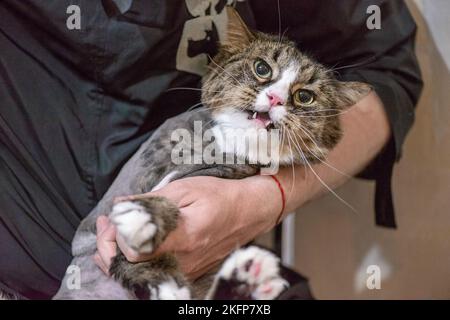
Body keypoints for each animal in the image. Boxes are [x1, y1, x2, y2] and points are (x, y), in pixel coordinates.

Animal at [53, 7, 370, 300]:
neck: (224, 144)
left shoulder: (224, 173)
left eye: (305, 96)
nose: (275, 98)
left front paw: (144, 219)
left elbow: (169, 199)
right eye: (262, 68)